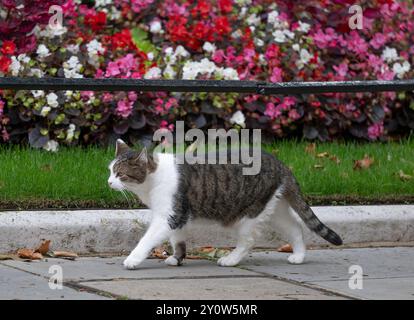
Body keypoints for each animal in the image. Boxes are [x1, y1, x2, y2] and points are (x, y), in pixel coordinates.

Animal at [107, 139, 342, 268]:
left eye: (120, 174)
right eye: (110, 171)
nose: (108, 182)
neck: (152, 181)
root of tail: (282, 164)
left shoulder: (170, 215)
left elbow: (147, 240)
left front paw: (133, 259)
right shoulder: (178, 215)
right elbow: (178, 240)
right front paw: (177, 258)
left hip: (249, 214)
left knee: (248, 241)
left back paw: (230, 260)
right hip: (274, 210)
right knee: (295, 227)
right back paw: (299, 256)